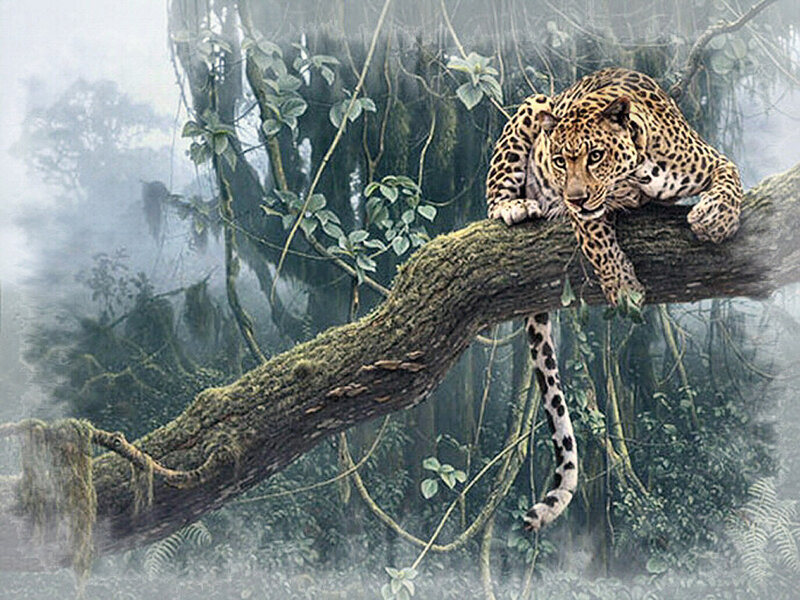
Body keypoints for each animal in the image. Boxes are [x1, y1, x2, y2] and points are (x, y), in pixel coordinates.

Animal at [485, 67, 743, 531]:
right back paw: (514, 206)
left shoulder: (708, 158)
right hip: (532, 105)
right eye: (559, 160)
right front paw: (623, 287)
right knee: (493, 193)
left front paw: (715, 218)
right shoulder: (583, 215)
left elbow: (730, 174)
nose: (573, 195)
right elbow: (598, 240)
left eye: (595, 155)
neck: (636, 173)